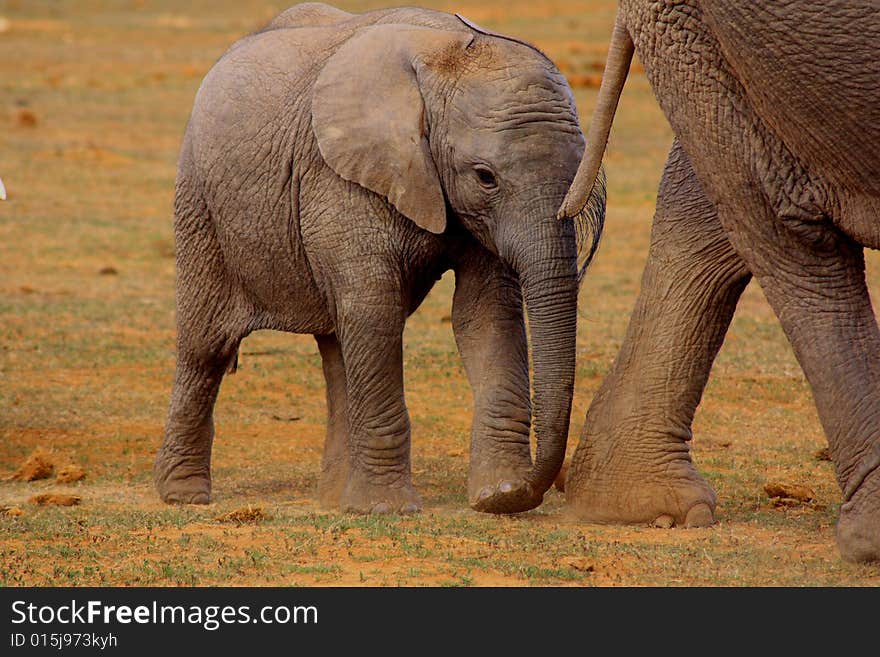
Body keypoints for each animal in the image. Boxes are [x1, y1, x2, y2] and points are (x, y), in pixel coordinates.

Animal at [155, 2, 604, 516]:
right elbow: (376, 311)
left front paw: (497, 493)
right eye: (485, 177)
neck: (444, 55)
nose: (540, 486)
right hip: (198, 199)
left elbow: (485, 312)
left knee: (337, 349)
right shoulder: (340, 177)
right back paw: (184, 495)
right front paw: (388, 509)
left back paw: (334, 500)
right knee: (206, 345)